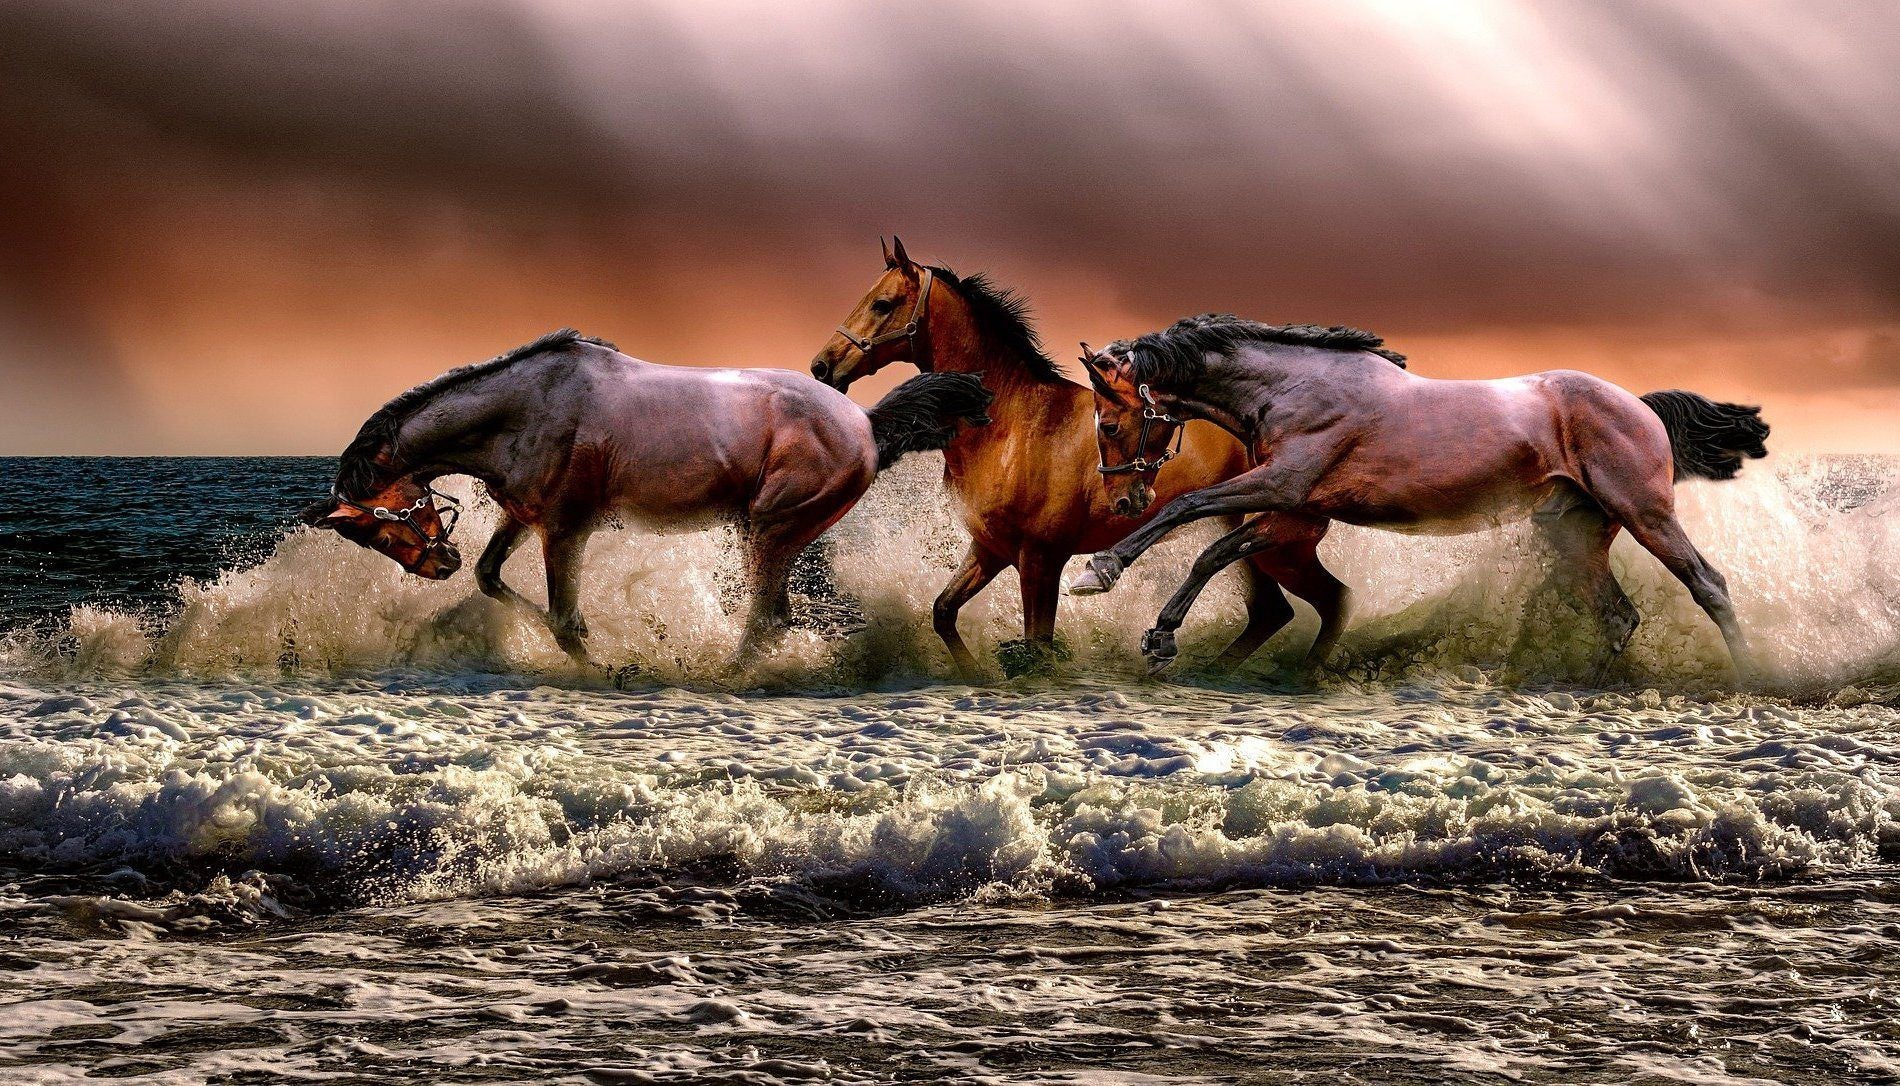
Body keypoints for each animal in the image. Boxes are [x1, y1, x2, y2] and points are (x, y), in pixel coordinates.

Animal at [303, 329, 993, 669]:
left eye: (379, 527)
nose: (435, 564)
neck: (524, 409)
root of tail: (868, 424)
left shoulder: (566, 529)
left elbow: (563, 620)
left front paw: (602, 667)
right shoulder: (522, 517)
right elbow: (492, 577)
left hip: (770, 529)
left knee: (766, 620)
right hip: (777, 536)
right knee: (773, 618)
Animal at [810, 236, 1348, 678]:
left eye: (882, 303)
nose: (821, 367)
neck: (1013, 426)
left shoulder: (1040, 559)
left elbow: (1037, 648)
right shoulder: (989, 550)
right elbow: (944, 613)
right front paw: (976, 675)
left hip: (1279, 546)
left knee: (1327, 602)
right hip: (1251, 544)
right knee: (1274, 612)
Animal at [1071, 313, 1771, 679]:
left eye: (1109, 424)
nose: (1124, 499)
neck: (1293, 388)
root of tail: (1639, 405)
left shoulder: (1284, 485)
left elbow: (1187, 510)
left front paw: (1098, 572)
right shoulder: (1295, 512)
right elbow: (1213, 553)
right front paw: (1161, 636)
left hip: (1644, 513)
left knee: (1707, 583)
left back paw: (1754, 673)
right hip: (1574, 534)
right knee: (1618, 614)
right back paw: (1591, 684)